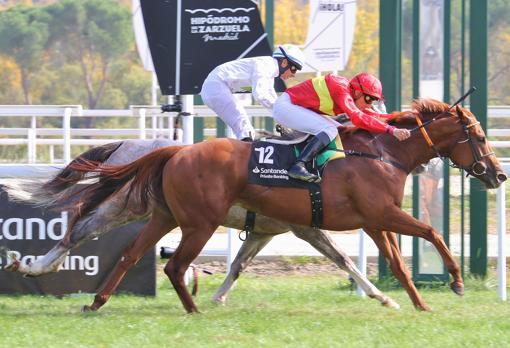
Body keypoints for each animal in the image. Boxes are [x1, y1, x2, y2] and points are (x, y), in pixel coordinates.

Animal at [65, 98, 504, 312]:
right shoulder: (381, 214)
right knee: (172, 265)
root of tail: (177, 151)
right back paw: (192, 309)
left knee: (129, 254)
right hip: (199, 223)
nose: (499, 175)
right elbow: (432, 232)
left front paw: (414, 302)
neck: (382, 153)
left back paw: (97, 302)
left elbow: (395, 263)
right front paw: (456, 281)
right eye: (480, 138)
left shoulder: (374, 221)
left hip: (166, 216)